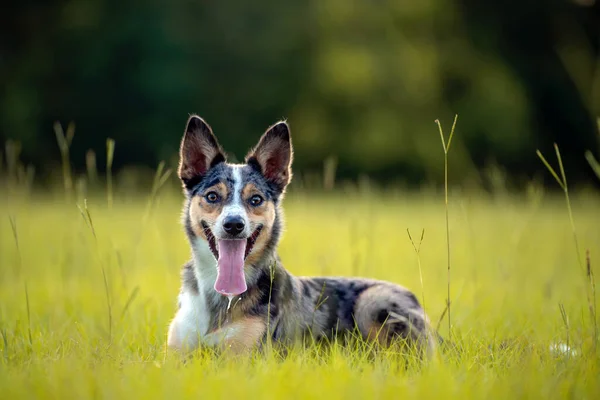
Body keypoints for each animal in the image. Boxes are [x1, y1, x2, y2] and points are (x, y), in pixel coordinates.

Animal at [166, 115, 434, 356]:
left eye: (256, 199)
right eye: (212, 196)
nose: (234, 224)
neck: (220, 297)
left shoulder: (244, 358)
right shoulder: (176, 353)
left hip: (374, 300)